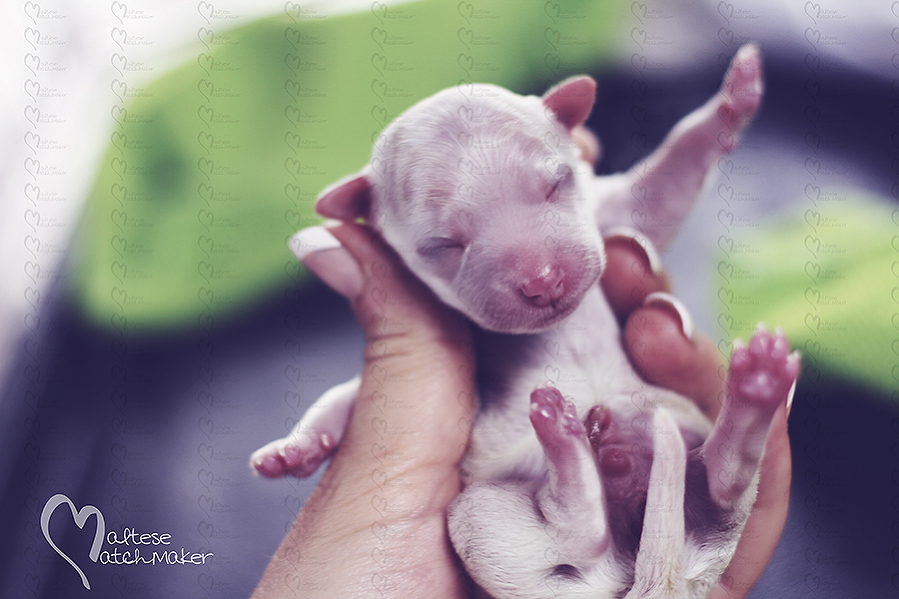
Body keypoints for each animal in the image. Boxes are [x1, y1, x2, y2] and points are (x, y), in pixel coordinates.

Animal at [250, 47, 800, 599]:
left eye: (555, 185)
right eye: (444, 245)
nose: (543, 281)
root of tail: (639, 572)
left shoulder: (611, 217)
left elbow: (657, 196)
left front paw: (732, 99)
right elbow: (349, 394)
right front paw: (297, 447)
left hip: (694, 464)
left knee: (723, 486)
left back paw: (750, 395)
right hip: (489, 516)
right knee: (584, 533)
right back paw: (575, 449)